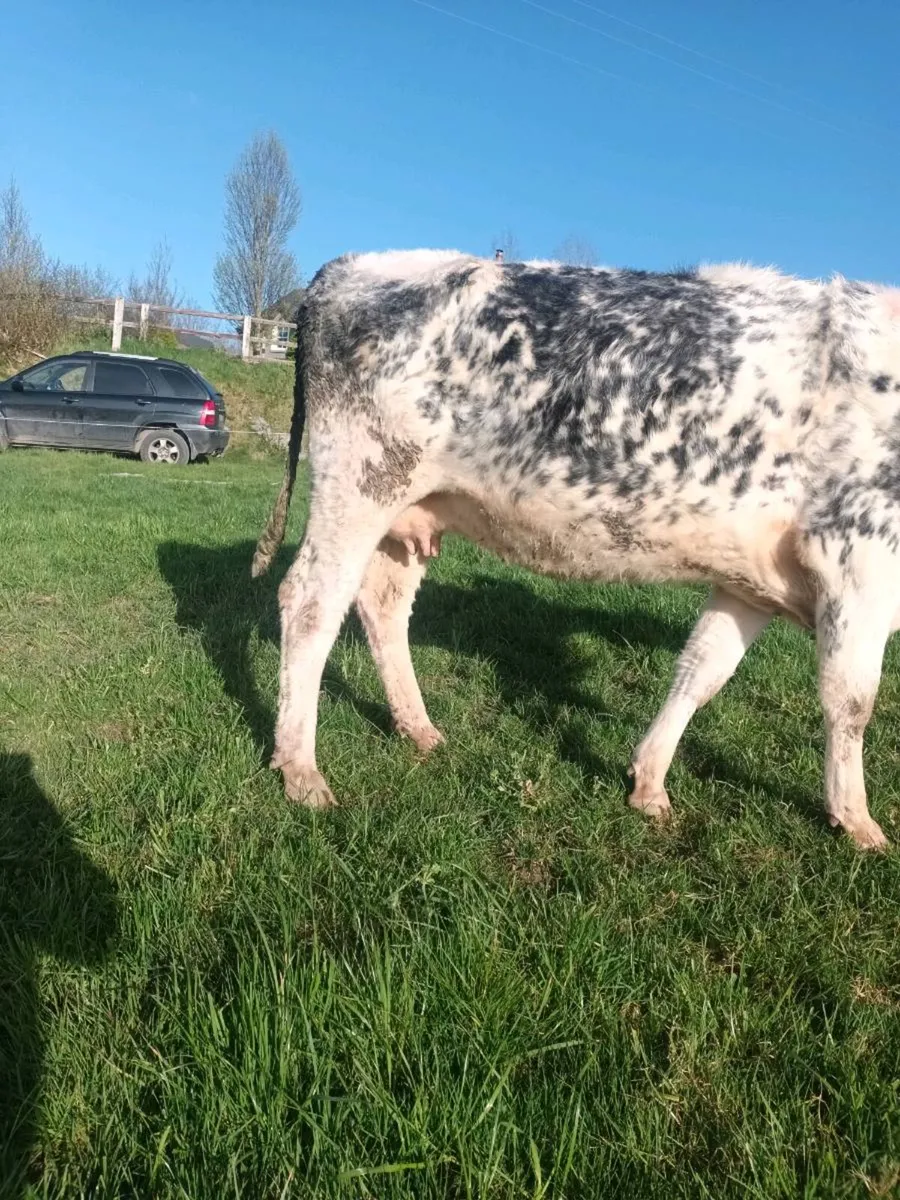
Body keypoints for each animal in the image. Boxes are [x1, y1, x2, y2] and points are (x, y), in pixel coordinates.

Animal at [252, 249, 900, 850]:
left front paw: (648, 781)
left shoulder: (751, 580)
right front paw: (858, 821)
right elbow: (850, 701)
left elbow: (701, 670)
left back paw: (418, 728)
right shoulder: (859, 563)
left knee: (382, 603)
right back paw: (300, 769)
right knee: (310, 603)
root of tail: (353, 263)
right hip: (361, 479)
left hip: (406, 509)